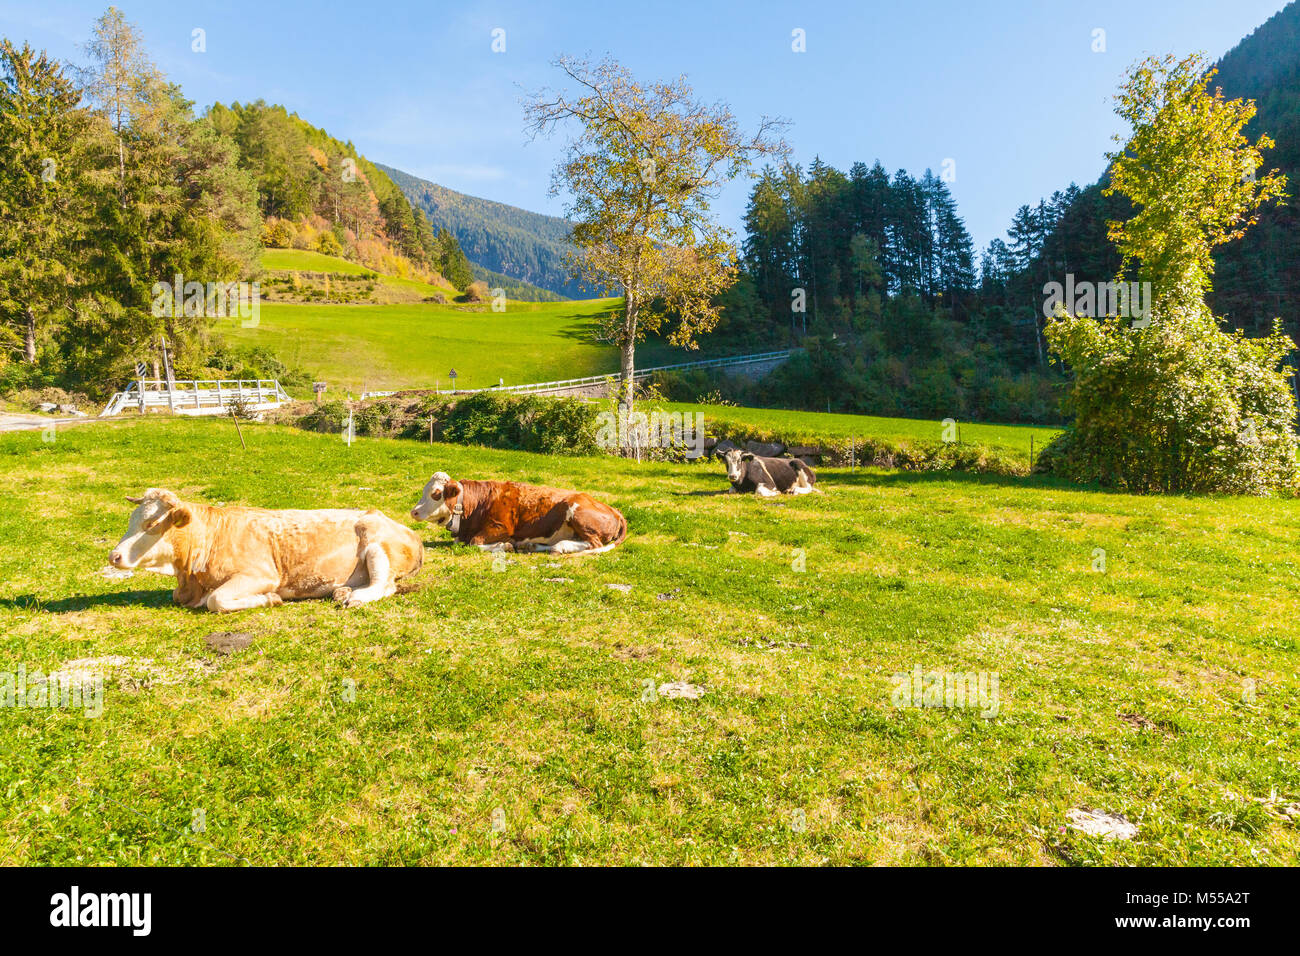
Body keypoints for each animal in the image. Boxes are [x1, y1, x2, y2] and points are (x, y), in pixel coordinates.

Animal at [109, 486, 421, 613]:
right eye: (131, 520)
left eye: (151, 523)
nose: (114, 556)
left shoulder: (260, 575)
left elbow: (216, 601)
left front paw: (270, 599)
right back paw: (343, 591)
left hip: (377, 547)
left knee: (385, 585)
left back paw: (355, 597)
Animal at [408, 470, 626, 554]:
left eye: (436, 494)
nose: (414, 512)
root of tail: (614, 509)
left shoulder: (501, 527)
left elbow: (475, 542)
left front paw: (504, 546)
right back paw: (532, 546)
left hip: (577, 513)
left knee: (593, 544)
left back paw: (558, 547)